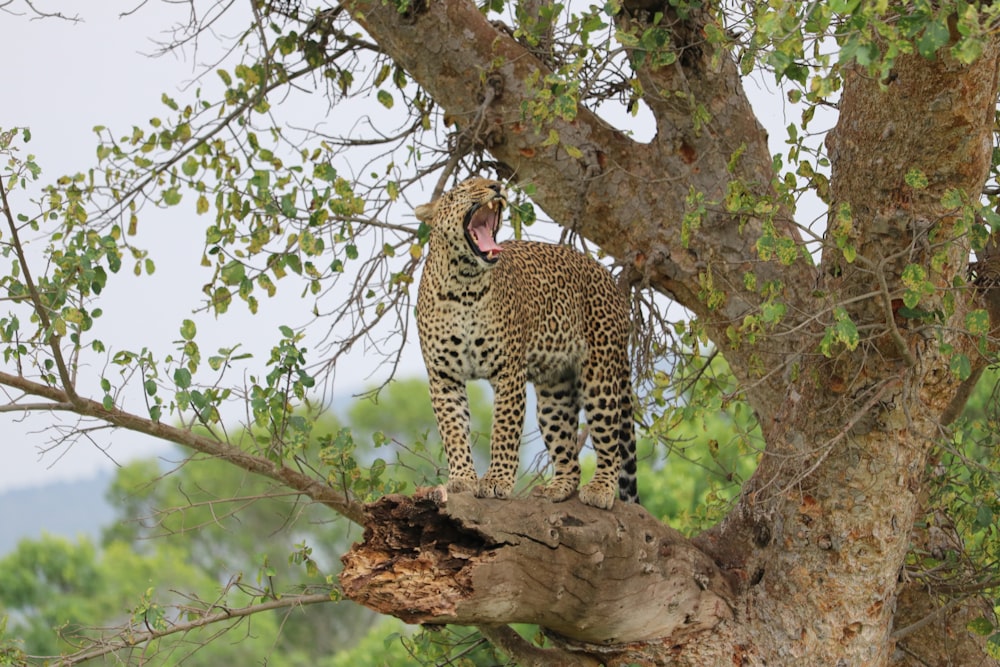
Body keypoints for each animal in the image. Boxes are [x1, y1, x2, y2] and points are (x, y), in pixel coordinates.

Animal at [414, 177, 640, 512]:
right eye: (464, 189)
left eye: (486, 181)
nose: (496, 186)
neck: (463, 283)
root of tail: (607, 278)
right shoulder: (444, 375)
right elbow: (453, 430)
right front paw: (463, 478)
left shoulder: (508, 370)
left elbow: (504, 429)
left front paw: (496, 480)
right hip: (555, 393)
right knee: (569, 457)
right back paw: (556, 489)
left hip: (601, 375)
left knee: (610, 440)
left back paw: (600, 488)